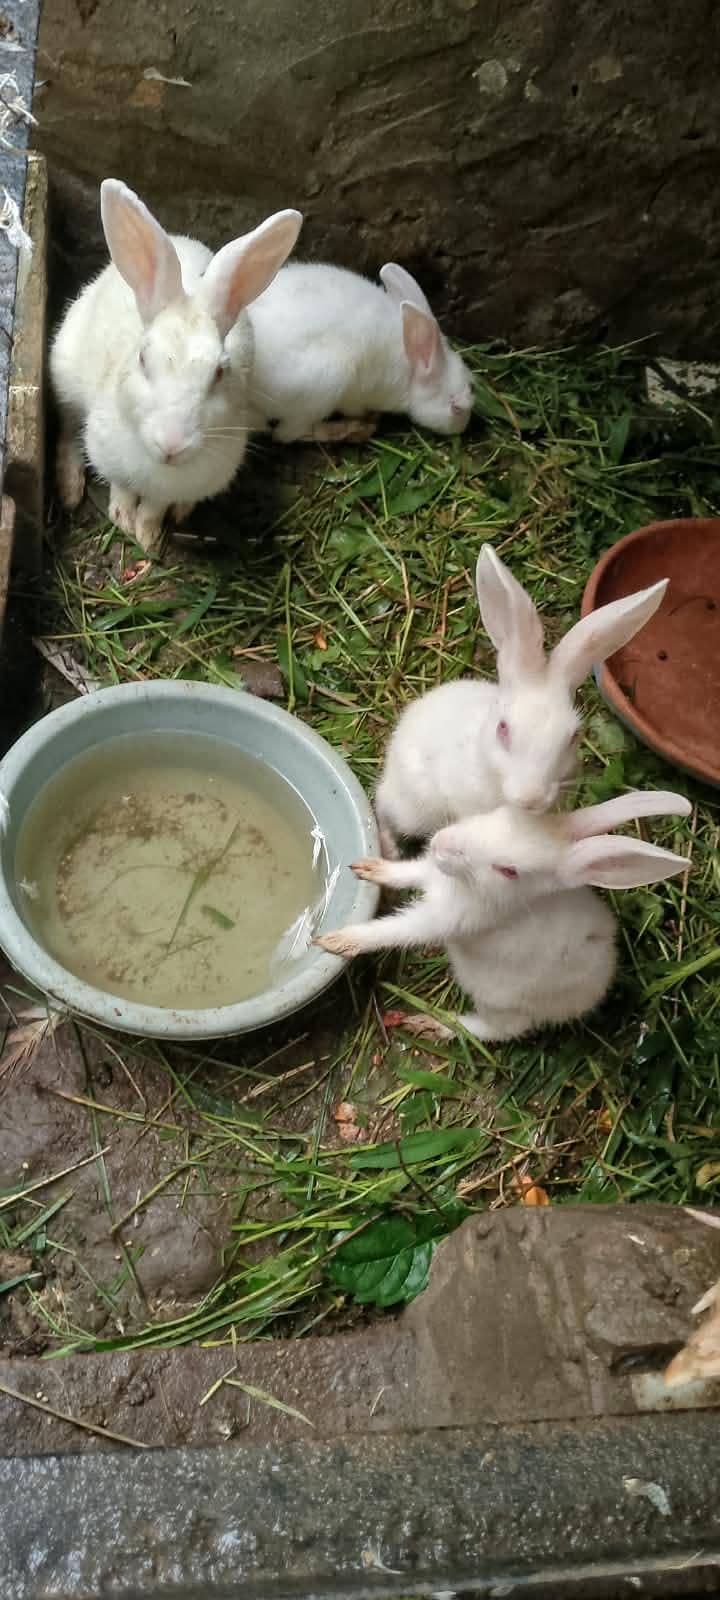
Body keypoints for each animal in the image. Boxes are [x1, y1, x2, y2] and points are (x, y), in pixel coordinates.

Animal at [50, 180, 303, 552]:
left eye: (219, 372)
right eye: (143, 358)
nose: (172, 444)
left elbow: (155, 507)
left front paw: (148, 537)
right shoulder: (109, 457)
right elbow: (121, 489)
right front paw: (122, 519)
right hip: (65, 372)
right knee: (68, 427)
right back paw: (68, 487)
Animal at [245, 260, 474, 443]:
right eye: (456, 408)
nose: (462, 428)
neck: (409, 370)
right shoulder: (357, 396)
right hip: (326, 384)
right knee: (286, 434)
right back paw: (351, 430)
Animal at [317, 789, 691, 1043]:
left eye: (509, 870)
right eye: (500, 813)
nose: (441, 843)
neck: (461, 885)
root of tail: (593, 995)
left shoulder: (442, 920)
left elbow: (393, 931)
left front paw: (336, 941)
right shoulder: (428, 875)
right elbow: (405, 873)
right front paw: (371, 868)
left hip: (501, 1003)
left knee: (498, 1031)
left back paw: (432, 1023)